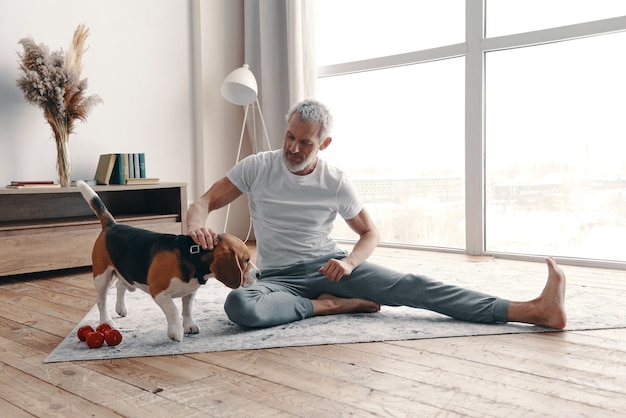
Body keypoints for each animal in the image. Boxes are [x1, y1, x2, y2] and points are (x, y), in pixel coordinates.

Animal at [76, 179, 258, 340]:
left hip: (126, 273)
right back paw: (106, 321)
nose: (259, 274)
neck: (193, 256)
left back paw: (120, 308)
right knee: (101, 301)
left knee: (121, 285)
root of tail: (111, 225)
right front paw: (176, 332)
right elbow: (173, 310)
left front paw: (189, 325)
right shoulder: (159, 291)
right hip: (102, 276)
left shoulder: (190, 292)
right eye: (246, 260)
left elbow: (187, 309)